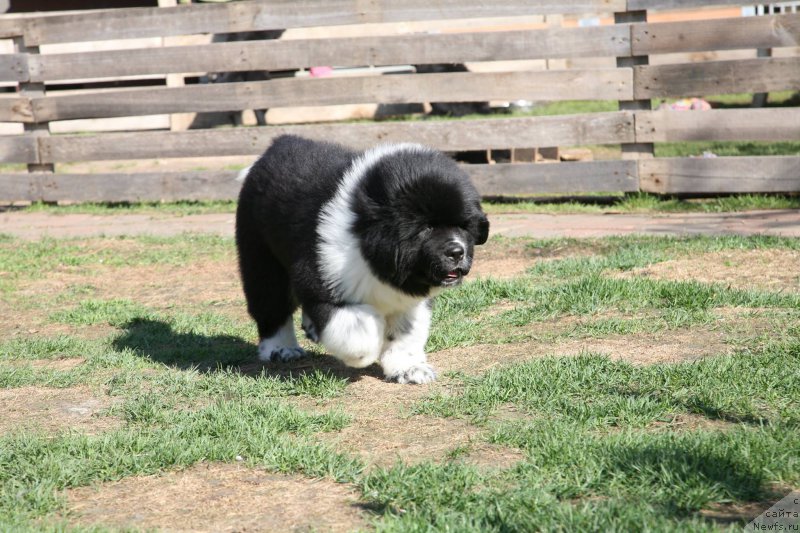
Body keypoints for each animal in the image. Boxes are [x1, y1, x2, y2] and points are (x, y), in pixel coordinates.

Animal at [234, 133, 490, 382]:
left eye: (464, 226)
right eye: (427, 227)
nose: (457, 252)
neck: (365, 236)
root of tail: (273, 147)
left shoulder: (410, 298)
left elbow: (406, 332)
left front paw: (408, 369)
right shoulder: (322, 282)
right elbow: (360, 329)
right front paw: (363, 352)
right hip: (262, 260)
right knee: (271, 307)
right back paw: (281, 349)